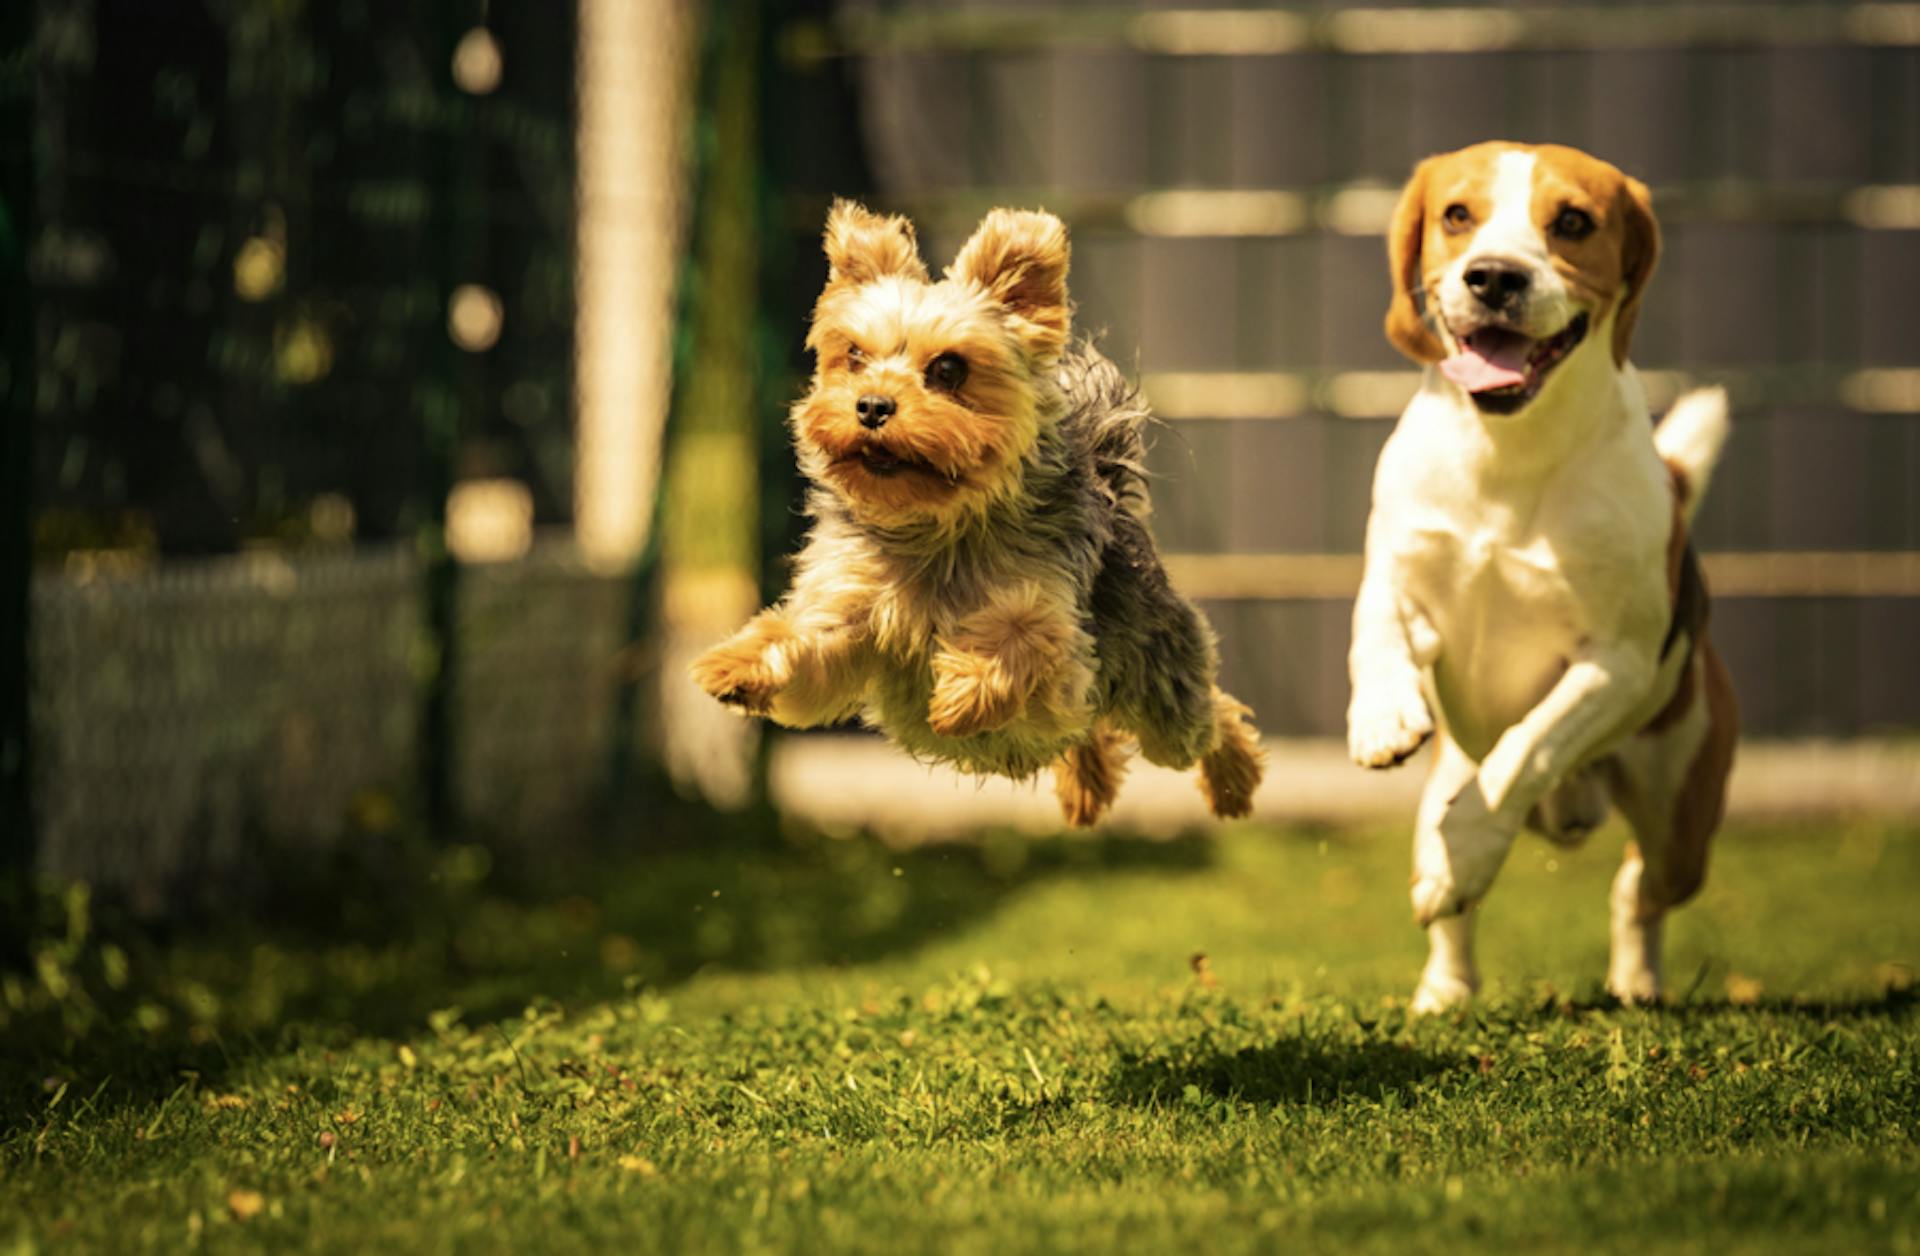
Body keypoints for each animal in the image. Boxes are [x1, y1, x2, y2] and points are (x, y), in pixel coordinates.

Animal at [687, 199, 1259, 825]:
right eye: (855, 356)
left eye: (947, 369)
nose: (871, 405)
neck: (936, 527)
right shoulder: (849, 612)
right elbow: (805, 643)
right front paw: (737, 663)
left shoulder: (1060, 647)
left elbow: (1022, 633)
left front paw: (963, 692)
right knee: (1091, 733)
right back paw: (1087, 789)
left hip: (1158, 690)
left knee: (1206, 717)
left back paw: (1233, 783)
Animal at [1351, 143, 1743, 1014]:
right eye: (1456, 214)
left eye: (1572, 222)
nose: (1494, 277)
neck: (1510, 451)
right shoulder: (1399, 578)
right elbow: (1377, 635)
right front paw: (1383, 717)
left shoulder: (1616, 663)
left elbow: (1528, 746)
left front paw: (1471, 843)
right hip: (1445, 781)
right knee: (1448, 904)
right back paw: (1445, 988)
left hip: (1681, 815)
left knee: (1638, 887)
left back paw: (1635, 980)